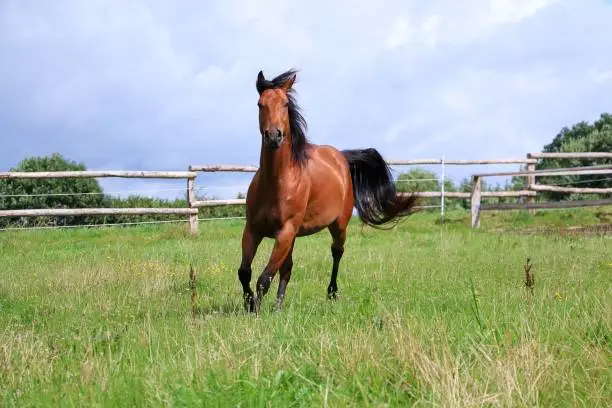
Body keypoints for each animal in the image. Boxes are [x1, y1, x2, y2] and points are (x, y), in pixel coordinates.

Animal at [237, 69, 418, 316]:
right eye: (259, 104)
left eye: (285, 104)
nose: (274, 136)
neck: (276, 182)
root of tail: (341, 157)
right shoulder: (254, 230)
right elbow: (245, 272)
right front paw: (250, 304)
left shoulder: (284, 232)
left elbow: (264, 278)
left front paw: (255, 311)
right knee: (287, 269)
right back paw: (278, 307)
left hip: (338, 225)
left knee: (337, 252)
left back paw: (332, 293)